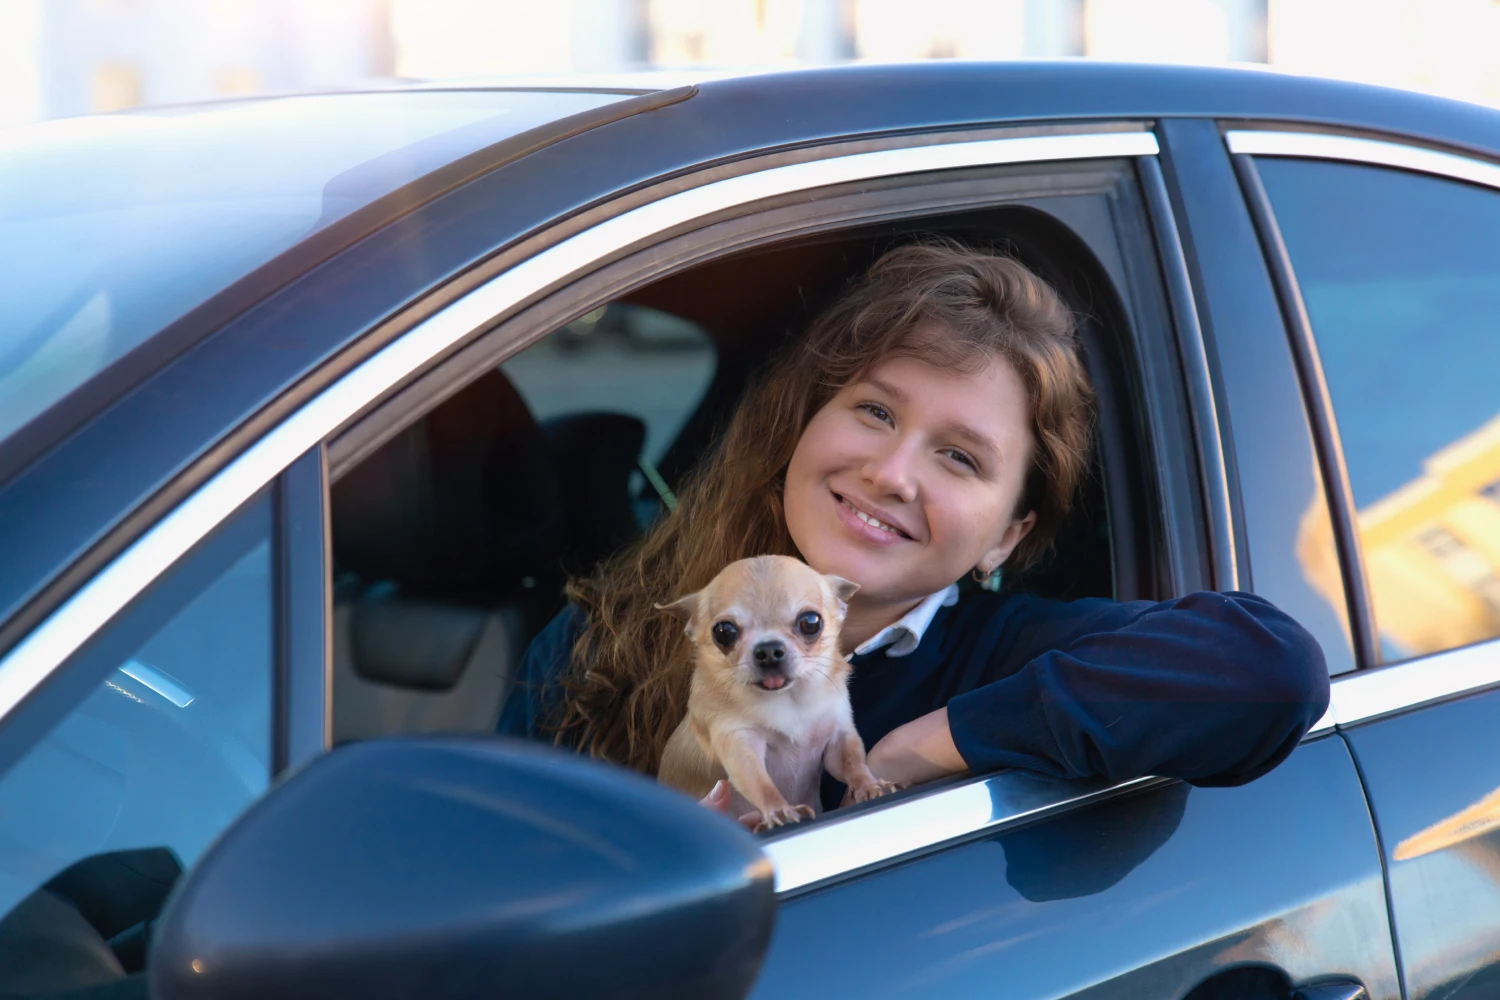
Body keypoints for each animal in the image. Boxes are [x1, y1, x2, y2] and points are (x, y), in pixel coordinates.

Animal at [654, 554, 888, 827]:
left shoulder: (838, 738)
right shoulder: (739, 742)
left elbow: (853, 763)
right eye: (723, 631)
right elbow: (760, 783)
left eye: (810, 622)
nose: (768, 650)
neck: (788, 699)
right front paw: (779, 810)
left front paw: (869, 785)